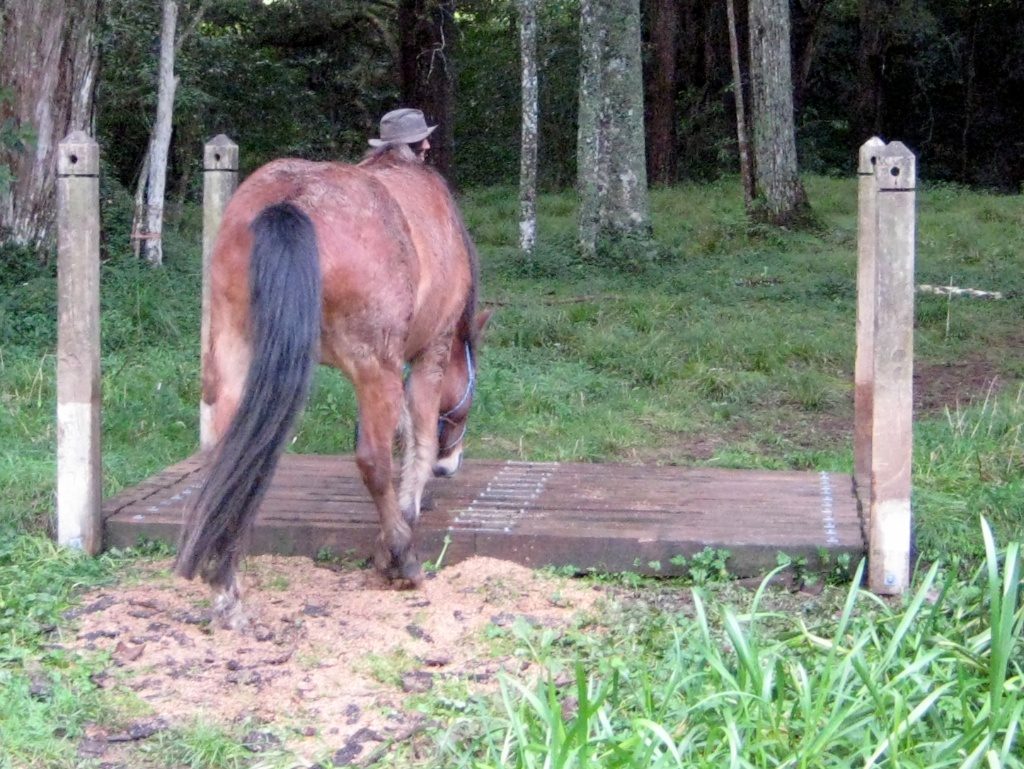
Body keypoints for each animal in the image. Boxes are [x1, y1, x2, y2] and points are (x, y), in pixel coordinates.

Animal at [174, 147, 485, 626]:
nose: (450, 467)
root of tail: (292, 201)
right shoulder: (430, 352)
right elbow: (419, 438)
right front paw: (405, 519)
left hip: (233, 354)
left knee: (230, 455)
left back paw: (225, 589)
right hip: (374, 368)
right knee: (373, 461)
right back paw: (402, 559)